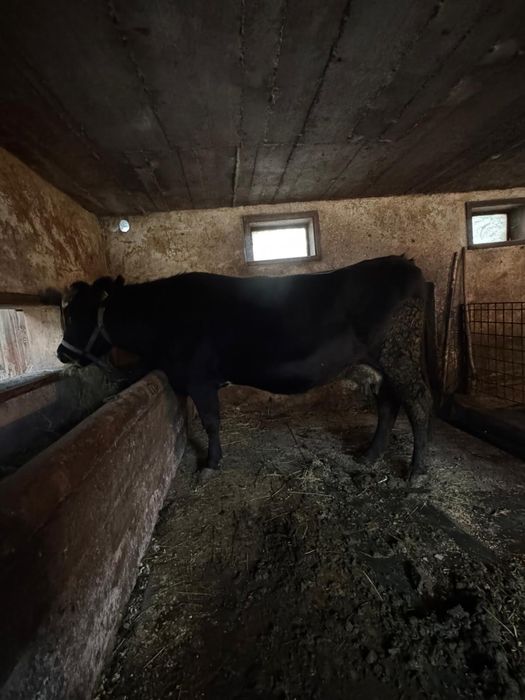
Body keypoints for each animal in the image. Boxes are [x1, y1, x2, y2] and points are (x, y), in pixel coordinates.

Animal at [56, 255, 433, 481]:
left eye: (74, 315)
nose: (61, 353)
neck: (163, 317)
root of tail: (404, 263)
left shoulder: (200, 378)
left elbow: (211, 422)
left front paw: (210, 464)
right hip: (379, 365)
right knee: (388, 405)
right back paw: (369, 456)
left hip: (400, 357)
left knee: (418, 404)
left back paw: (417, 470)